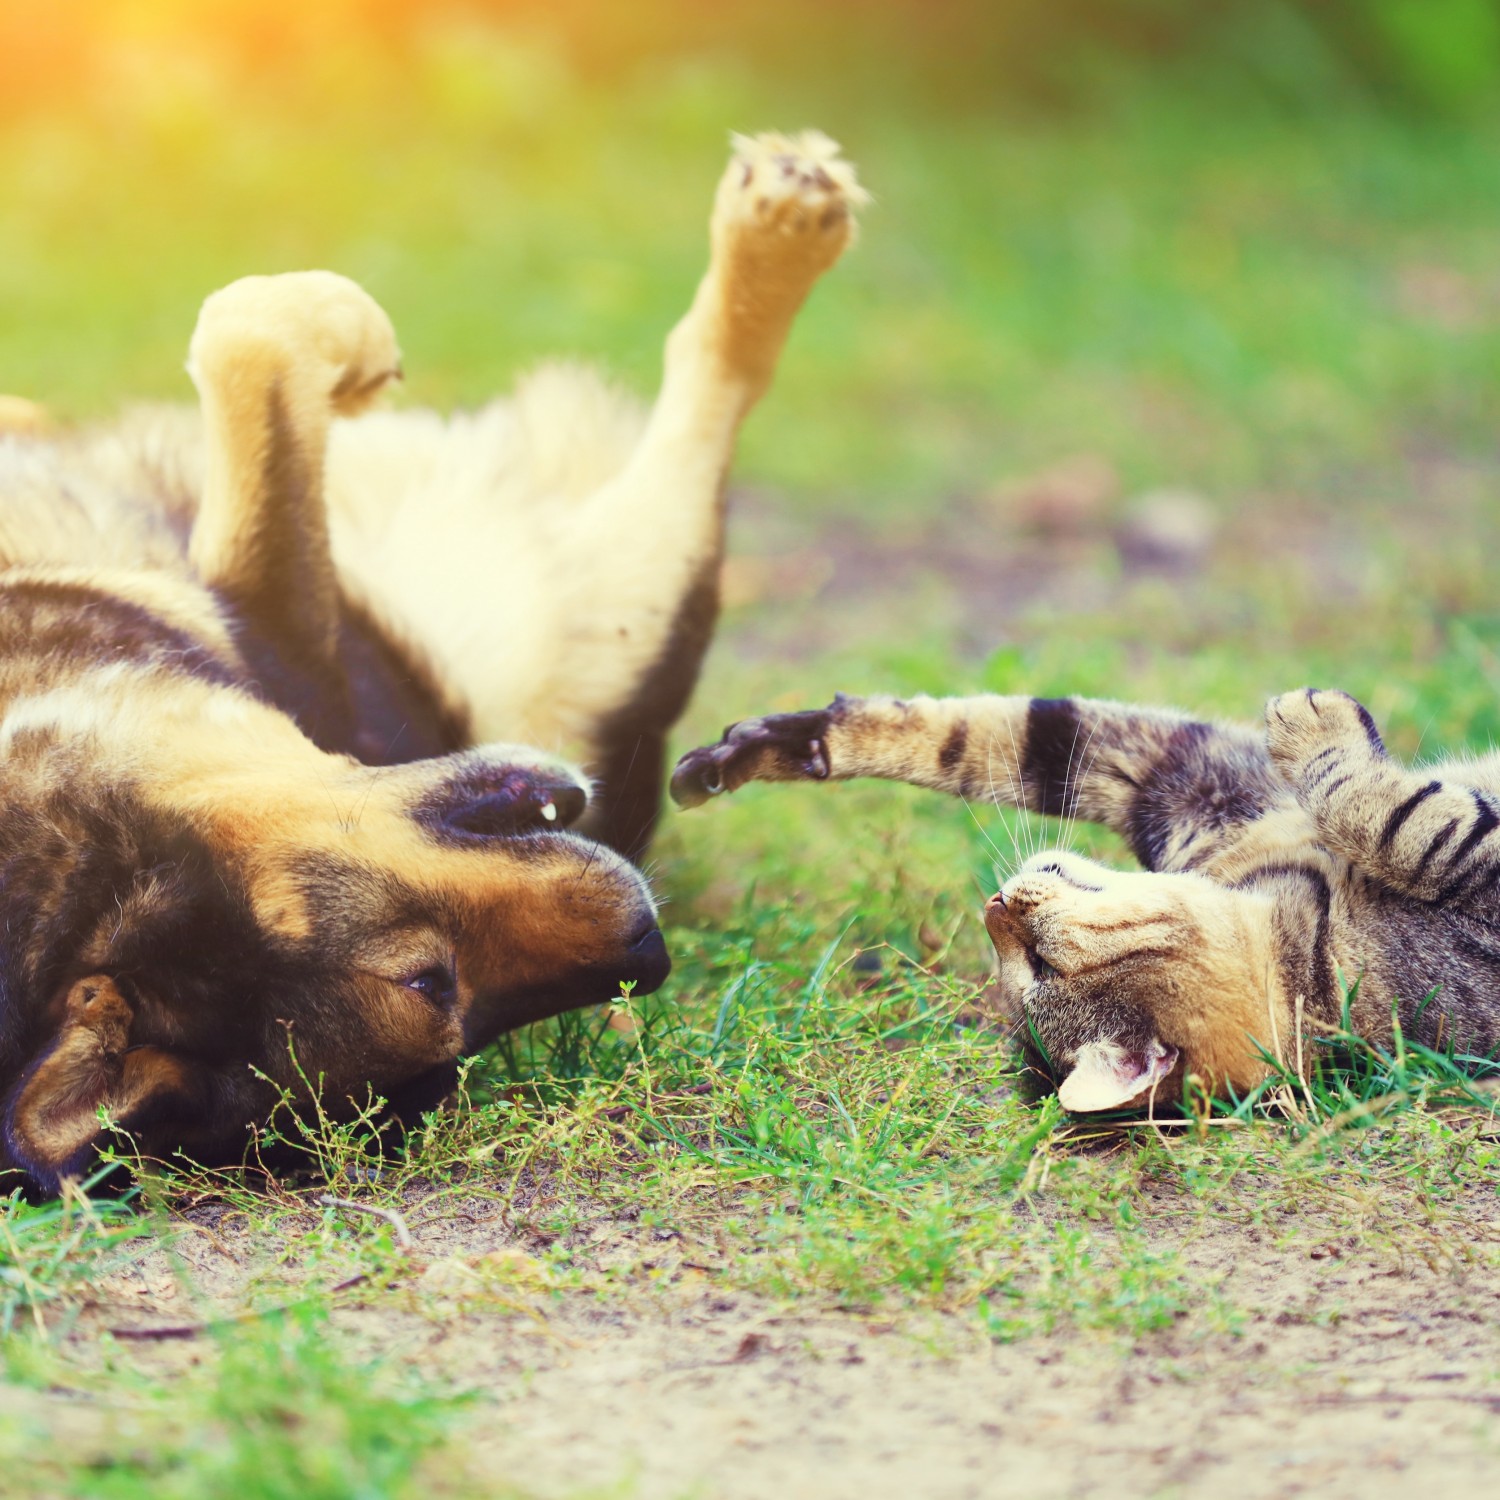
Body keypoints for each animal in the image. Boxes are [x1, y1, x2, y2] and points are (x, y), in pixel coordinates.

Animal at [0, 135, 870, 1188]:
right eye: (435, 988)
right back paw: (779, 235)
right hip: (605, 604)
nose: (648, 950)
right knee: (710, 398)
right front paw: (352, 345)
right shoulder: (281, 626)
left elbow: (238, 325)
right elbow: (253, 330)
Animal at [678, 687, 1500, 1110]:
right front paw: (1319, 722)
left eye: (1036, 964)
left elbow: (992, 733)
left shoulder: (1191, 783)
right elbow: (1412, 823)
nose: (995, 903)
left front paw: (770, 746)